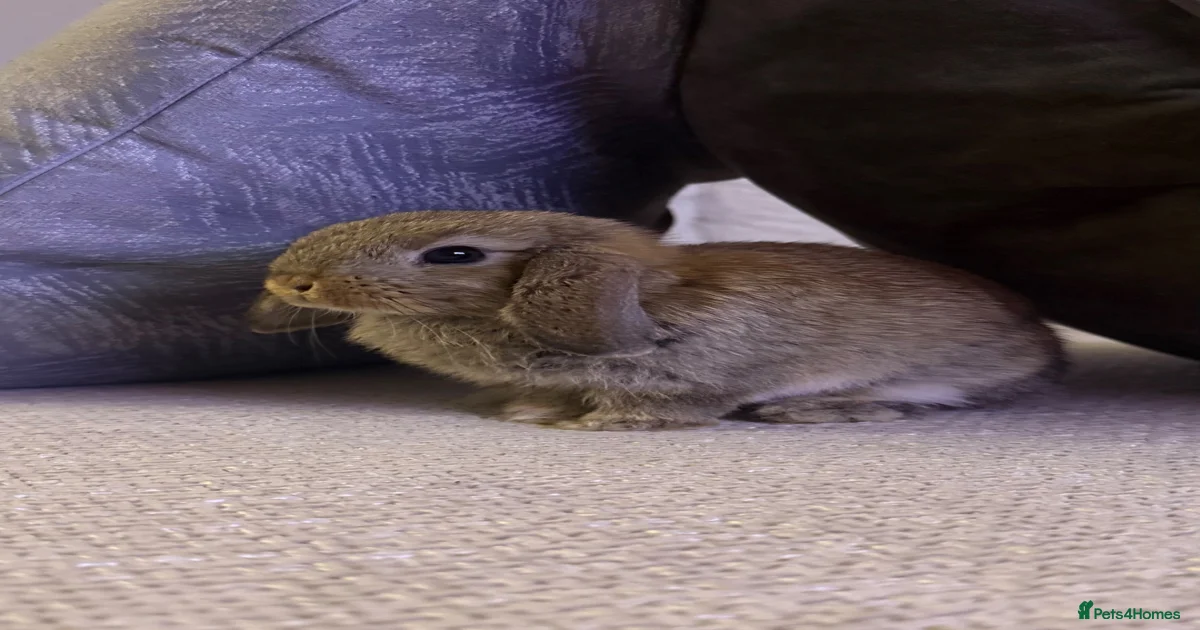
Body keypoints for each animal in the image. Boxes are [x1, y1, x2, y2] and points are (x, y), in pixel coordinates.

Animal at [247, 210, 1064, 431]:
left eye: (455, 254)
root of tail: (1043, 343)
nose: (288, 281)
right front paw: (526, 410)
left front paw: (597, 427)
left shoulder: (695, 375)